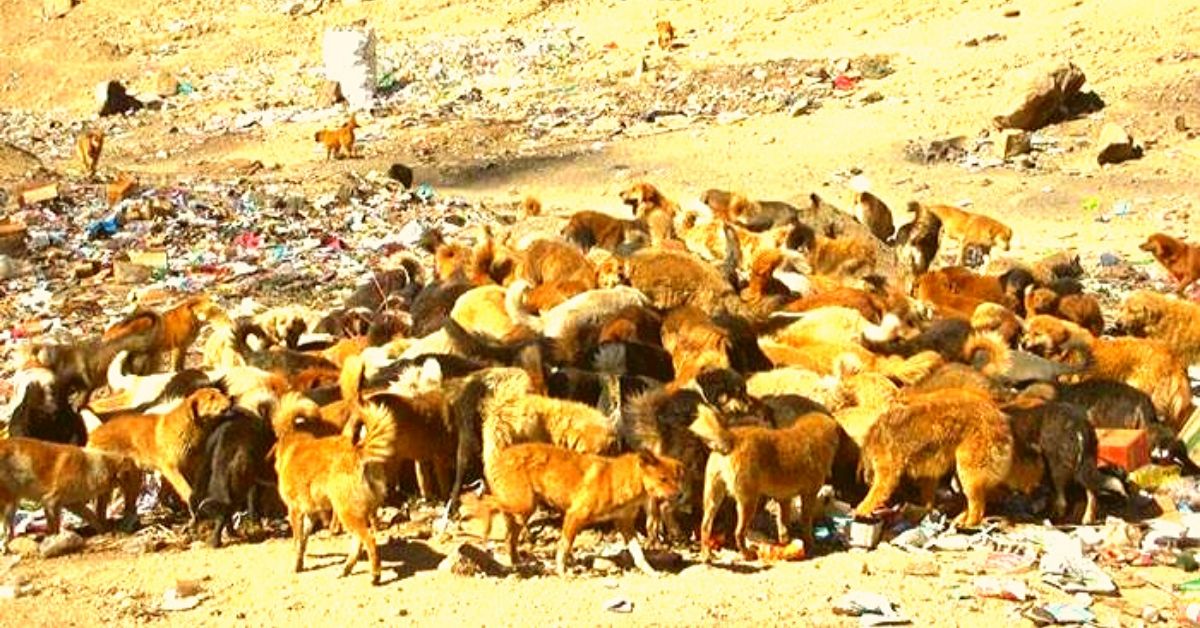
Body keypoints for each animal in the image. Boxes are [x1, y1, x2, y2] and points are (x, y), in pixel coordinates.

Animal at [0, 437, 140, 545]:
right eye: (135, 483)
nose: (132, 509)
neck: (91, 468)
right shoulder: (51, 501)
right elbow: (55, 526)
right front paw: (55, 539)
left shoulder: (72, 503)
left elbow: (90, 515)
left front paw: (104, 530)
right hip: (9, 504)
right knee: (6, 531)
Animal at [271, 393, 393, 585]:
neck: (294, 442)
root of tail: (358, 451)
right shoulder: (311, 514)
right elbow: (303, 543)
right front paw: (300, 563)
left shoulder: (295, 511)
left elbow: (297, 542)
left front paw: (295, 565)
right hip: (356, 512)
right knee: (359, 542)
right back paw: (345, 569)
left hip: (346, 512)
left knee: (369, 540)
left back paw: (374, 575)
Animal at [477, 444, 686, 578]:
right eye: (663, 479)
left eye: (677, 479)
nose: (680, 495)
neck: (620, 481)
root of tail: (498, 457)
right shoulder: (575, 515)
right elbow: (564, 548)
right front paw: (562, 572)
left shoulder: (625, 524)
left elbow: (639, 554)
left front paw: (651, 572)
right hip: (522, 504)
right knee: (487, 501)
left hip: (525, 510)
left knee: (509, 539)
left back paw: (516, 563)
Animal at [696, 410, 844, 561]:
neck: (810, 435)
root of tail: (732, 438)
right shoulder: (809, 496)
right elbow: (806, 523)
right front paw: (810, 545)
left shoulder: (784, 499)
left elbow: (783, 526)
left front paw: (785, 545)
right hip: (749, 503)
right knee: (738, 532)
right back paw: (747, 554)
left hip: (712, 498)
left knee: (705, 526)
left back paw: (706, 554)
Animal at [854, 391, 1012, 528]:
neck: (873, 441)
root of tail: (998, 416)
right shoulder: (928, 473)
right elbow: (928, 496)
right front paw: (926, 511)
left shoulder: (887, 474)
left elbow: (875, 494)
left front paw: (860, 511)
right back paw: (962, 517)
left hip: (968, 472)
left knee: (978, 507)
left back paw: (969, 523)